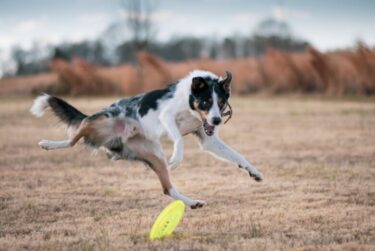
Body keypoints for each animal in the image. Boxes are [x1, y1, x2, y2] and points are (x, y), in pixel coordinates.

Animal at [30, 70, 264, 208]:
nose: (216, 120)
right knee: (73, 137)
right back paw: (48, 144)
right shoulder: (166, 116)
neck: (189, 103)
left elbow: (237, 156)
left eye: (221, 102)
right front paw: (177, 158)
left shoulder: (208, 139)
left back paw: (192, 203)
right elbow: (179, 139)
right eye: (206, 101)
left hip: (155, 155)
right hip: (100, 119)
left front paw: (253, 171)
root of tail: (119, 138)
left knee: (167, 189)